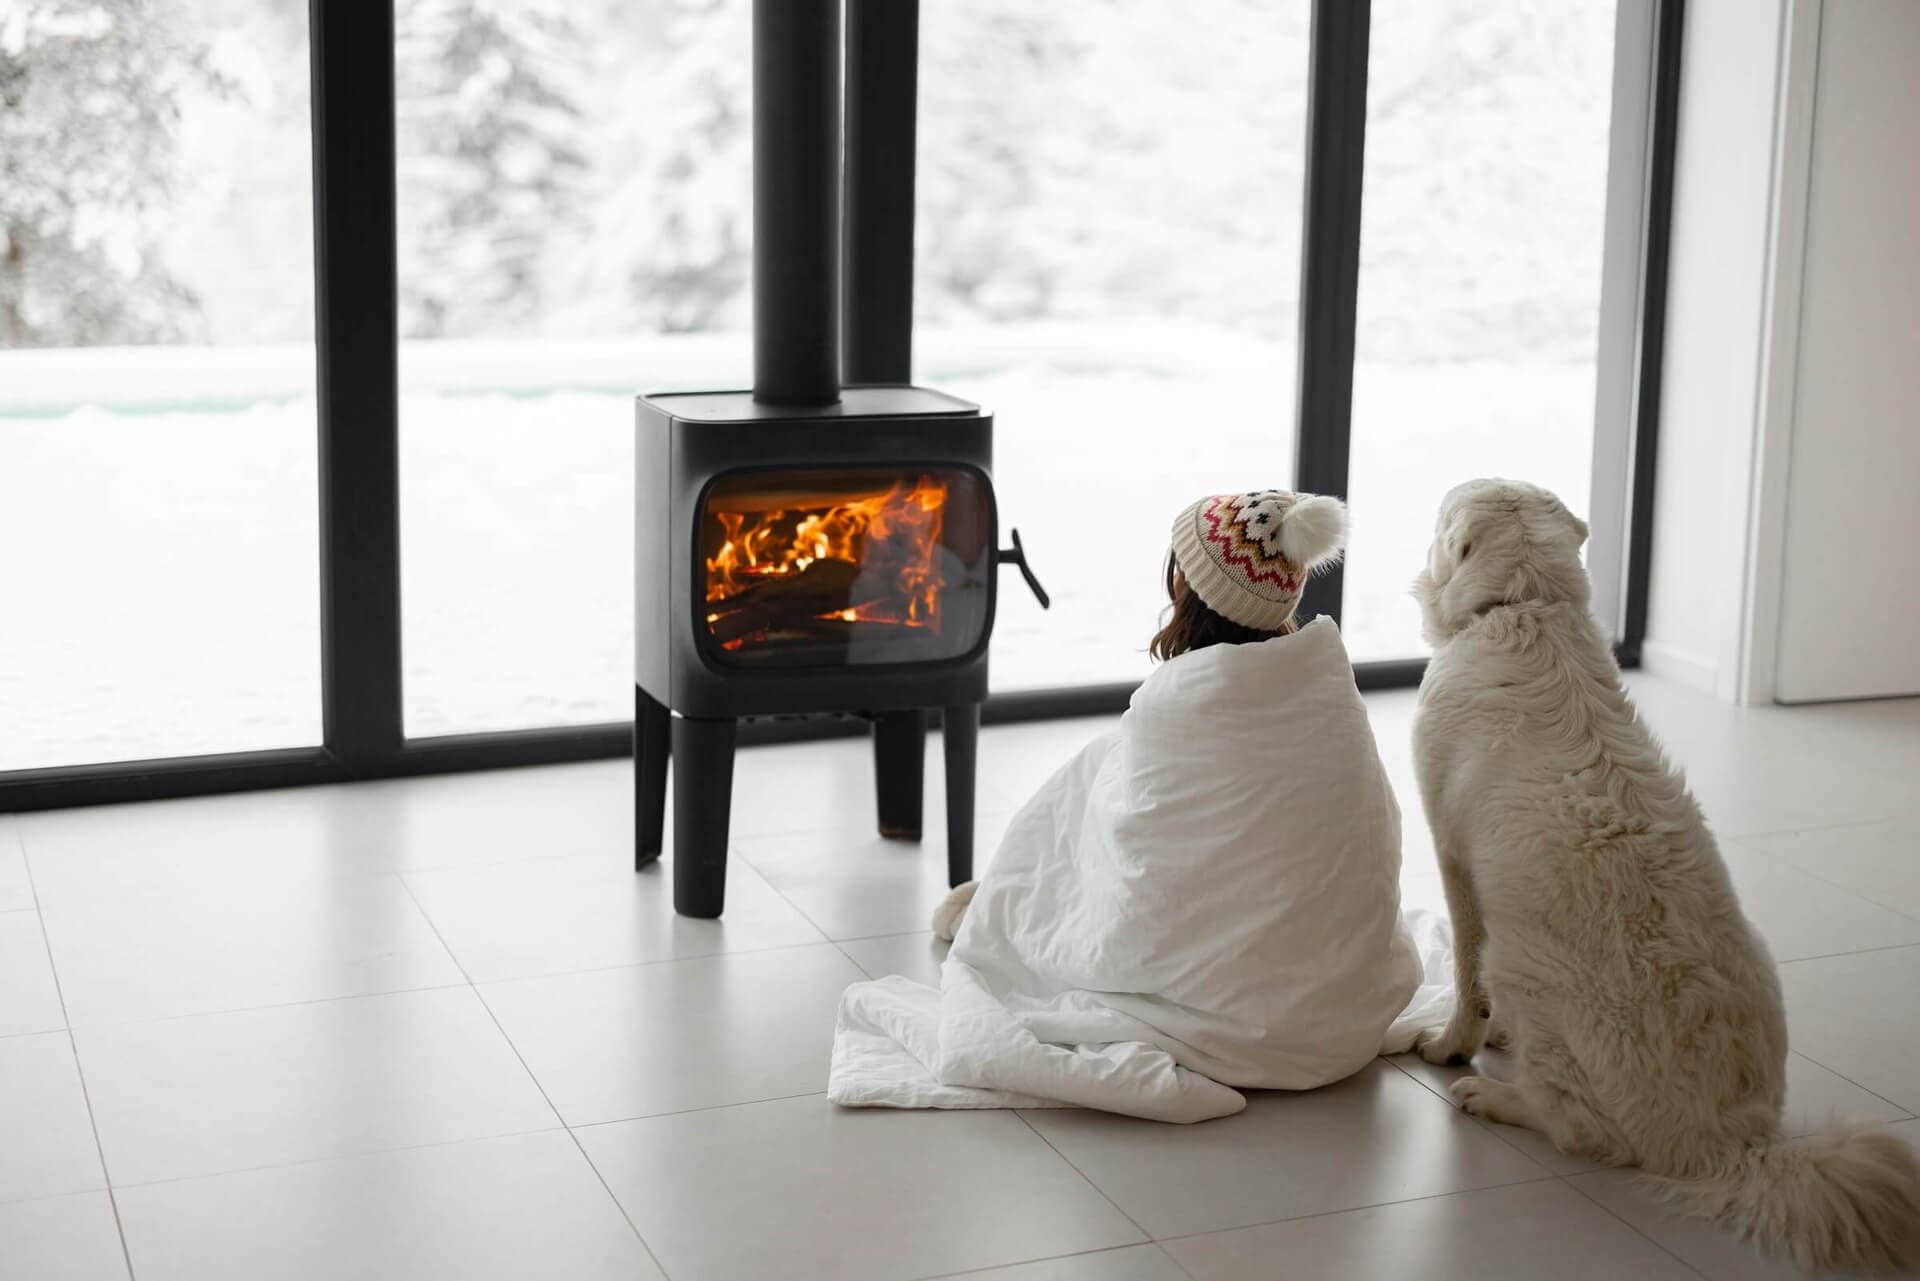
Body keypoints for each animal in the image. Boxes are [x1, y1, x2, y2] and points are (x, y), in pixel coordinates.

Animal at [1413, 478, 1920, 1275]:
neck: (1526, 606)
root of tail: (1731, 1145)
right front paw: (1496, 1037)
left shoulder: (1454, 859)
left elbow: (1466, 976)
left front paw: (1453, 1041)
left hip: (1523, 961)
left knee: (1585, 1130)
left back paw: (1497, 1099)